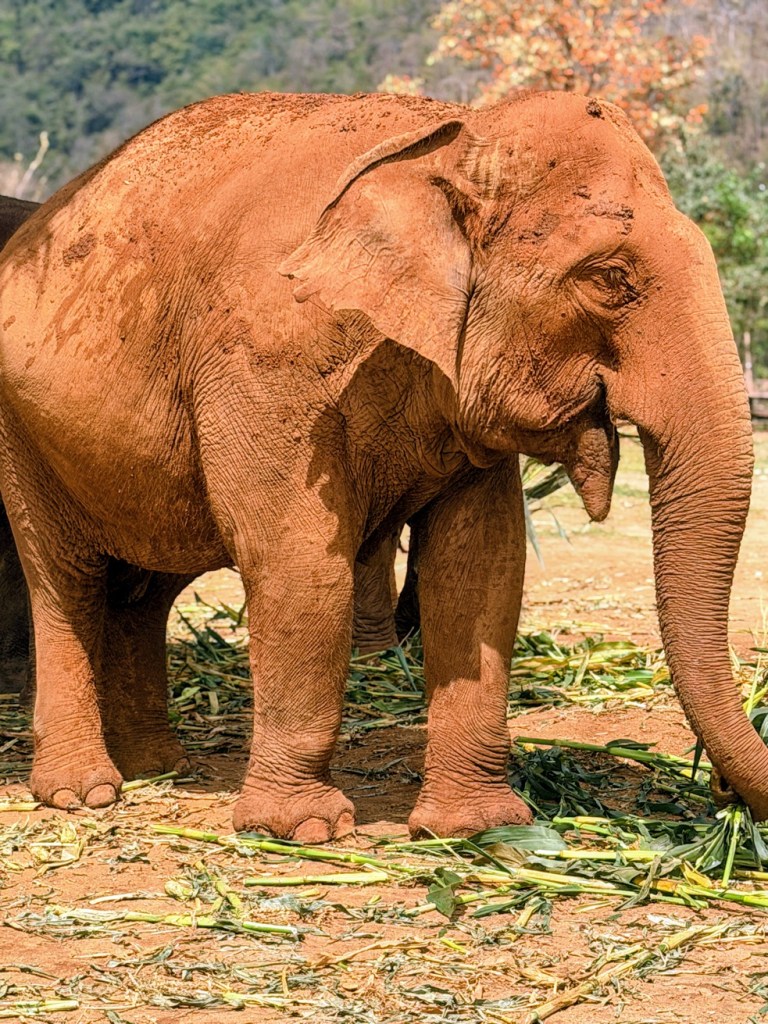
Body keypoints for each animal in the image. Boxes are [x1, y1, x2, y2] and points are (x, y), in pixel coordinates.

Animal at [0, 90, 757, 840]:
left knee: (146, 589)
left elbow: (481, 565)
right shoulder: (267, 361)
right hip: (23, 435)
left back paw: (158, 768)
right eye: (610, 279)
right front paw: (303, 830)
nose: (724, 790)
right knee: (66, 580)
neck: (453, 134)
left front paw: (475, 828)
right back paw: (85, 793)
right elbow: (298, 558)